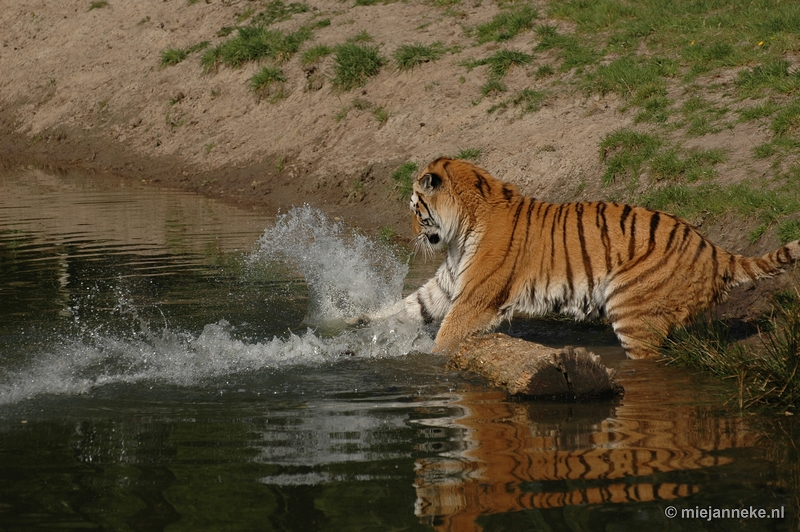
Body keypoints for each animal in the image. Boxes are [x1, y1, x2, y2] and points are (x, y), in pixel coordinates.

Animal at [396, 156, 800, 360]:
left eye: (416, 209)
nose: (413, 234)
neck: (461, 229)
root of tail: (714, 248)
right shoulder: (447, 286)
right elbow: (406, 307)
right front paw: (377, 327)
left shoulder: (475, 298)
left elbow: (446, 335)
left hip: (634, 311)